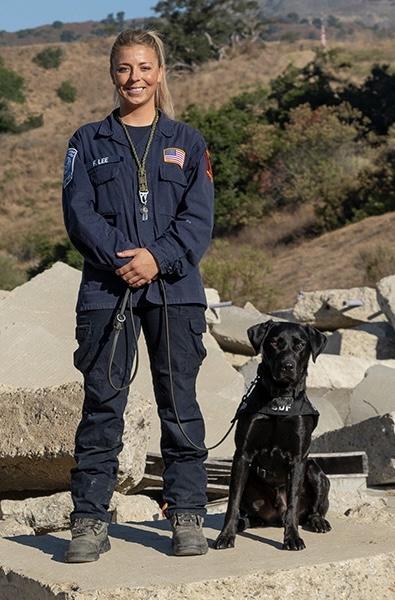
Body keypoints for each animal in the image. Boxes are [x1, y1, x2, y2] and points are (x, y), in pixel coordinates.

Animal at [215, 322, 332, 552]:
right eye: (275, 343)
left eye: (300, 345)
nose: (287, 366)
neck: (280, 398)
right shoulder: (242, 455)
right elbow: (232, 502)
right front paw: (225, 536)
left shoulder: (298, 458)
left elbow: (294, 504)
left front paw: (292, 538)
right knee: (247, 511)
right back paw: (244, 522)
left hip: (315, 471)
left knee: (310, 509)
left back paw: (317, 521)